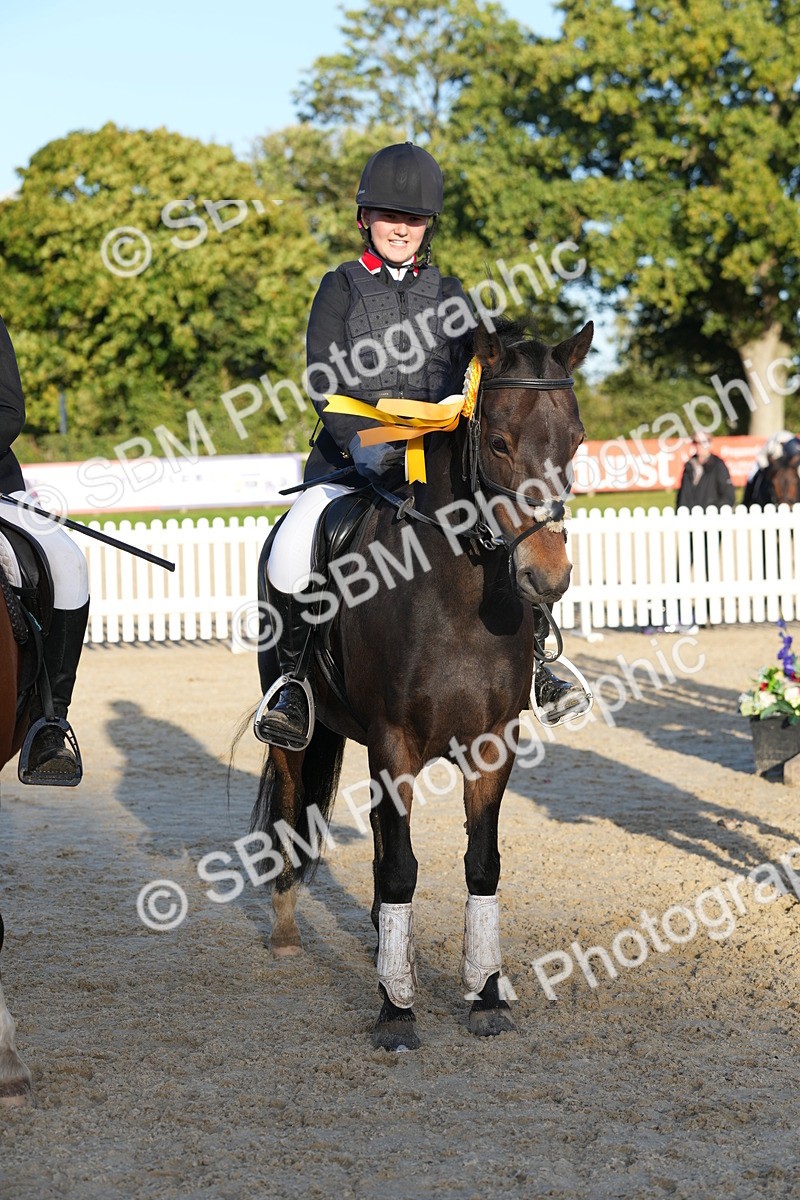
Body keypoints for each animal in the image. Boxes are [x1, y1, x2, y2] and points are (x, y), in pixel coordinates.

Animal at [250, 317, 592, 1050]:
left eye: (576, 440)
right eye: (498, 442)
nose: (547, 577)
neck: (455, 594)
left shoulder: (491, 746)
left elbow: (479, 862)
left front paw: (485, 995)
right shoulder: (394, 741)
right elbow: (402, 864)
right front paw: (396, 1011)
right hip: (299, 733)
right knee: (294, 808)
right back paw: (289, 930)